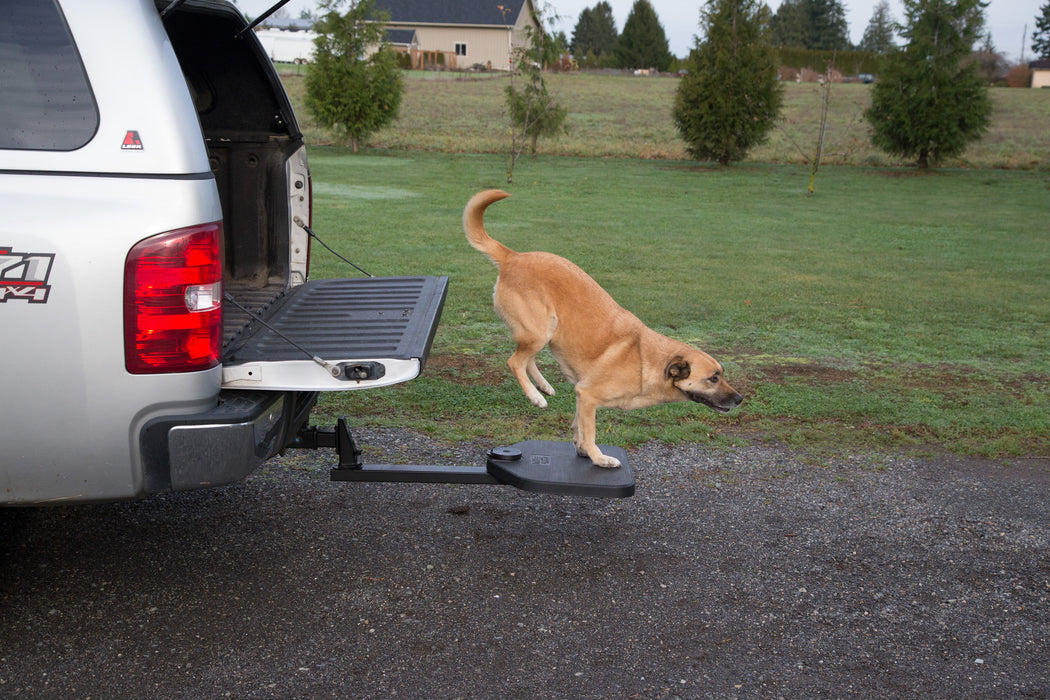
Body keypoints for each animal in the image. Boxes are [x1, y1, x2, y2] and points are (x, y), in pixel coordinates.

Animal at [464, 188, 743, 468]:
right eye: (713, 378)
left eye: (722, 374)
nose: (740, 399)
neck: (645, 362)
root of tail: (513, 256)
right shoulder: (588, 397)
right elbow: (590, 433)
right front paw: (599, 458)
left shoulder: (581, 397)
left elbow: (578, 427)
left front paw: (581, 449)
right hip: (541, 331)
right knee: (515, 362)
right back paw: (536, 397)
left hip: (542, 334)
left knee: (525, 359)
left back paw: (544, 387)